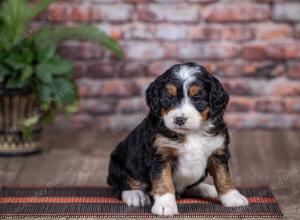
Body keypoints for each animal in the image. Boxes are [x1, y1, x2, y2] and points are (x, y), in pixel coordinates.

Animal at [107, 62, 248, 217]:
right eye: (169, 96)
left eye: (196, 97)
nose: (179, 119)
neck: (192, 133)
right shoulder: (160, 155)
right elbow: (164, 181)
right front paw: (165, 205)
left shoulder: (218, 151)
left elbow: (223, 176)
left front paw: (232, 196)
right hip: (118, 165)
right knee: (120, 186)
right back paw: (136, 195)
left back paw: (206, 189)